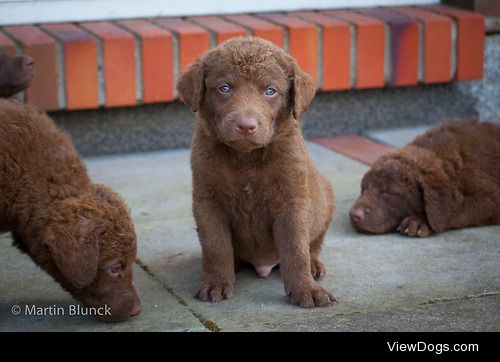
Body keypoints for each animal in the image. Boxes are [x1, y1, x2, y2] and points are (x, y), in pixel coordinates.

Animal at [177, 36, 336, 308]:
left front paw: (306, 289)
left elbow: (296, 250)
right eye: (225, 88)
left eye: (270, 91)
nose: (245, 125)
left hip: (324, 200)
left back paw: (314, 266)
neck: (246, 158)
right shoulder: (208, 201)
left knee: (313, 244)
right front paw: (216, 284)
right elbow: (216, 247)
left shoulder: (292, 201)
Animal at [350, 120, 500, 236]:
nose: (353, 215)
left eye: (388, 192)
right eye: (363, 190)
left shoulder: (492, 198)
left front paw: (419, 221)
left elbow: (460, 208)